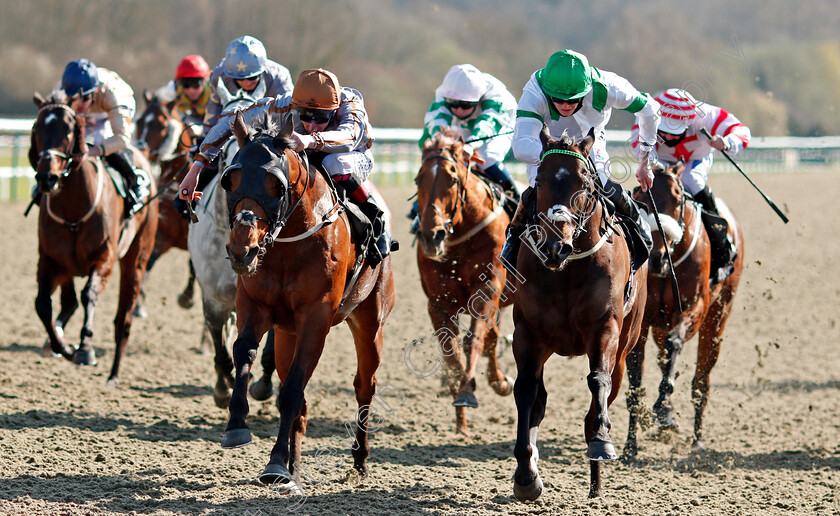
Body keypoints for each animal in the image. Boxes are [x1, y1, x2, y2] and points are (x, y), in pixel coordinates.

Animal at [30, 91, 159, 382]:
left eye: (68, 129)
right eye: (36, 128)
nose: (46, 178)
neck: (73, 208)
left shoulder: (104, 259)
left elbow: (89, 295)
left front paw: (85, 348)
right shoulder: (49, 260)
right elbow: (42, 304)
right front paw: (62, 346)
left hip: (137, 257)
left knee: (123, 319)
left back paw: (114, 374)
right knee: (68, 302)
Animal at [221, 112, 396, 492]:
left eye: (276, 185)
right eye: (231, 179)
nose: (242, 249)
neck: (289, 242)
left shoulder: (316, 317)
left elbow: (291, 392)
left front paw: (275, 464)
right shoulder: (255, 304)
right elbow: (244, 352)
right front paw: (238, 427)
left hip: (370, 323)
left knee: (364, 385)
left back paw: (359, 460)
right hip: (287, 334)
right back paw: (295, 468)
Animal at [416, 129, 516, 436]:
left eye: (452, 178)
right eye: (418, 179)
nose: (431, 235)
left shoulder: (487, 291)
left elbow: (474, 342)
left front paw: (467, 394)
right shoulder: (438, 303)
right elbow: (451, 353)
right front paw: (461, 422)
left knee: (490, 340)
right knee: (493, 339)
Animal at [508, 128, 648, 500]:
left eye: (583, 183)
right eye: (540, 181)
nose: (554, 246)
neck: (567, 270)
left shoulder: (605, 328)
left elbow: (598, 381)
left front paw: (601, 442)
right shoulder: (528, 333)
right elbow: (526, 391)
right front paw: (526, 474)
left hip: (627, 342)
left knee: (605, 393)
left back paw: (596, 481)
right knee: (539, 399)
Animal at [620, 162, 744, 460]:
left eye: (678, 199)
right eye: (640, 198)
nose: (656, 257)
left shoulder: (693, 309)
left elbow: (676, 345)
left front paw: (664, 408)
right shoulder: (641, 324)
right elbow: (635, 381)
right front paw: (631, 445)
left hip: (717, 319)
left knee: (701, 381)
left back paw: (697, 441)